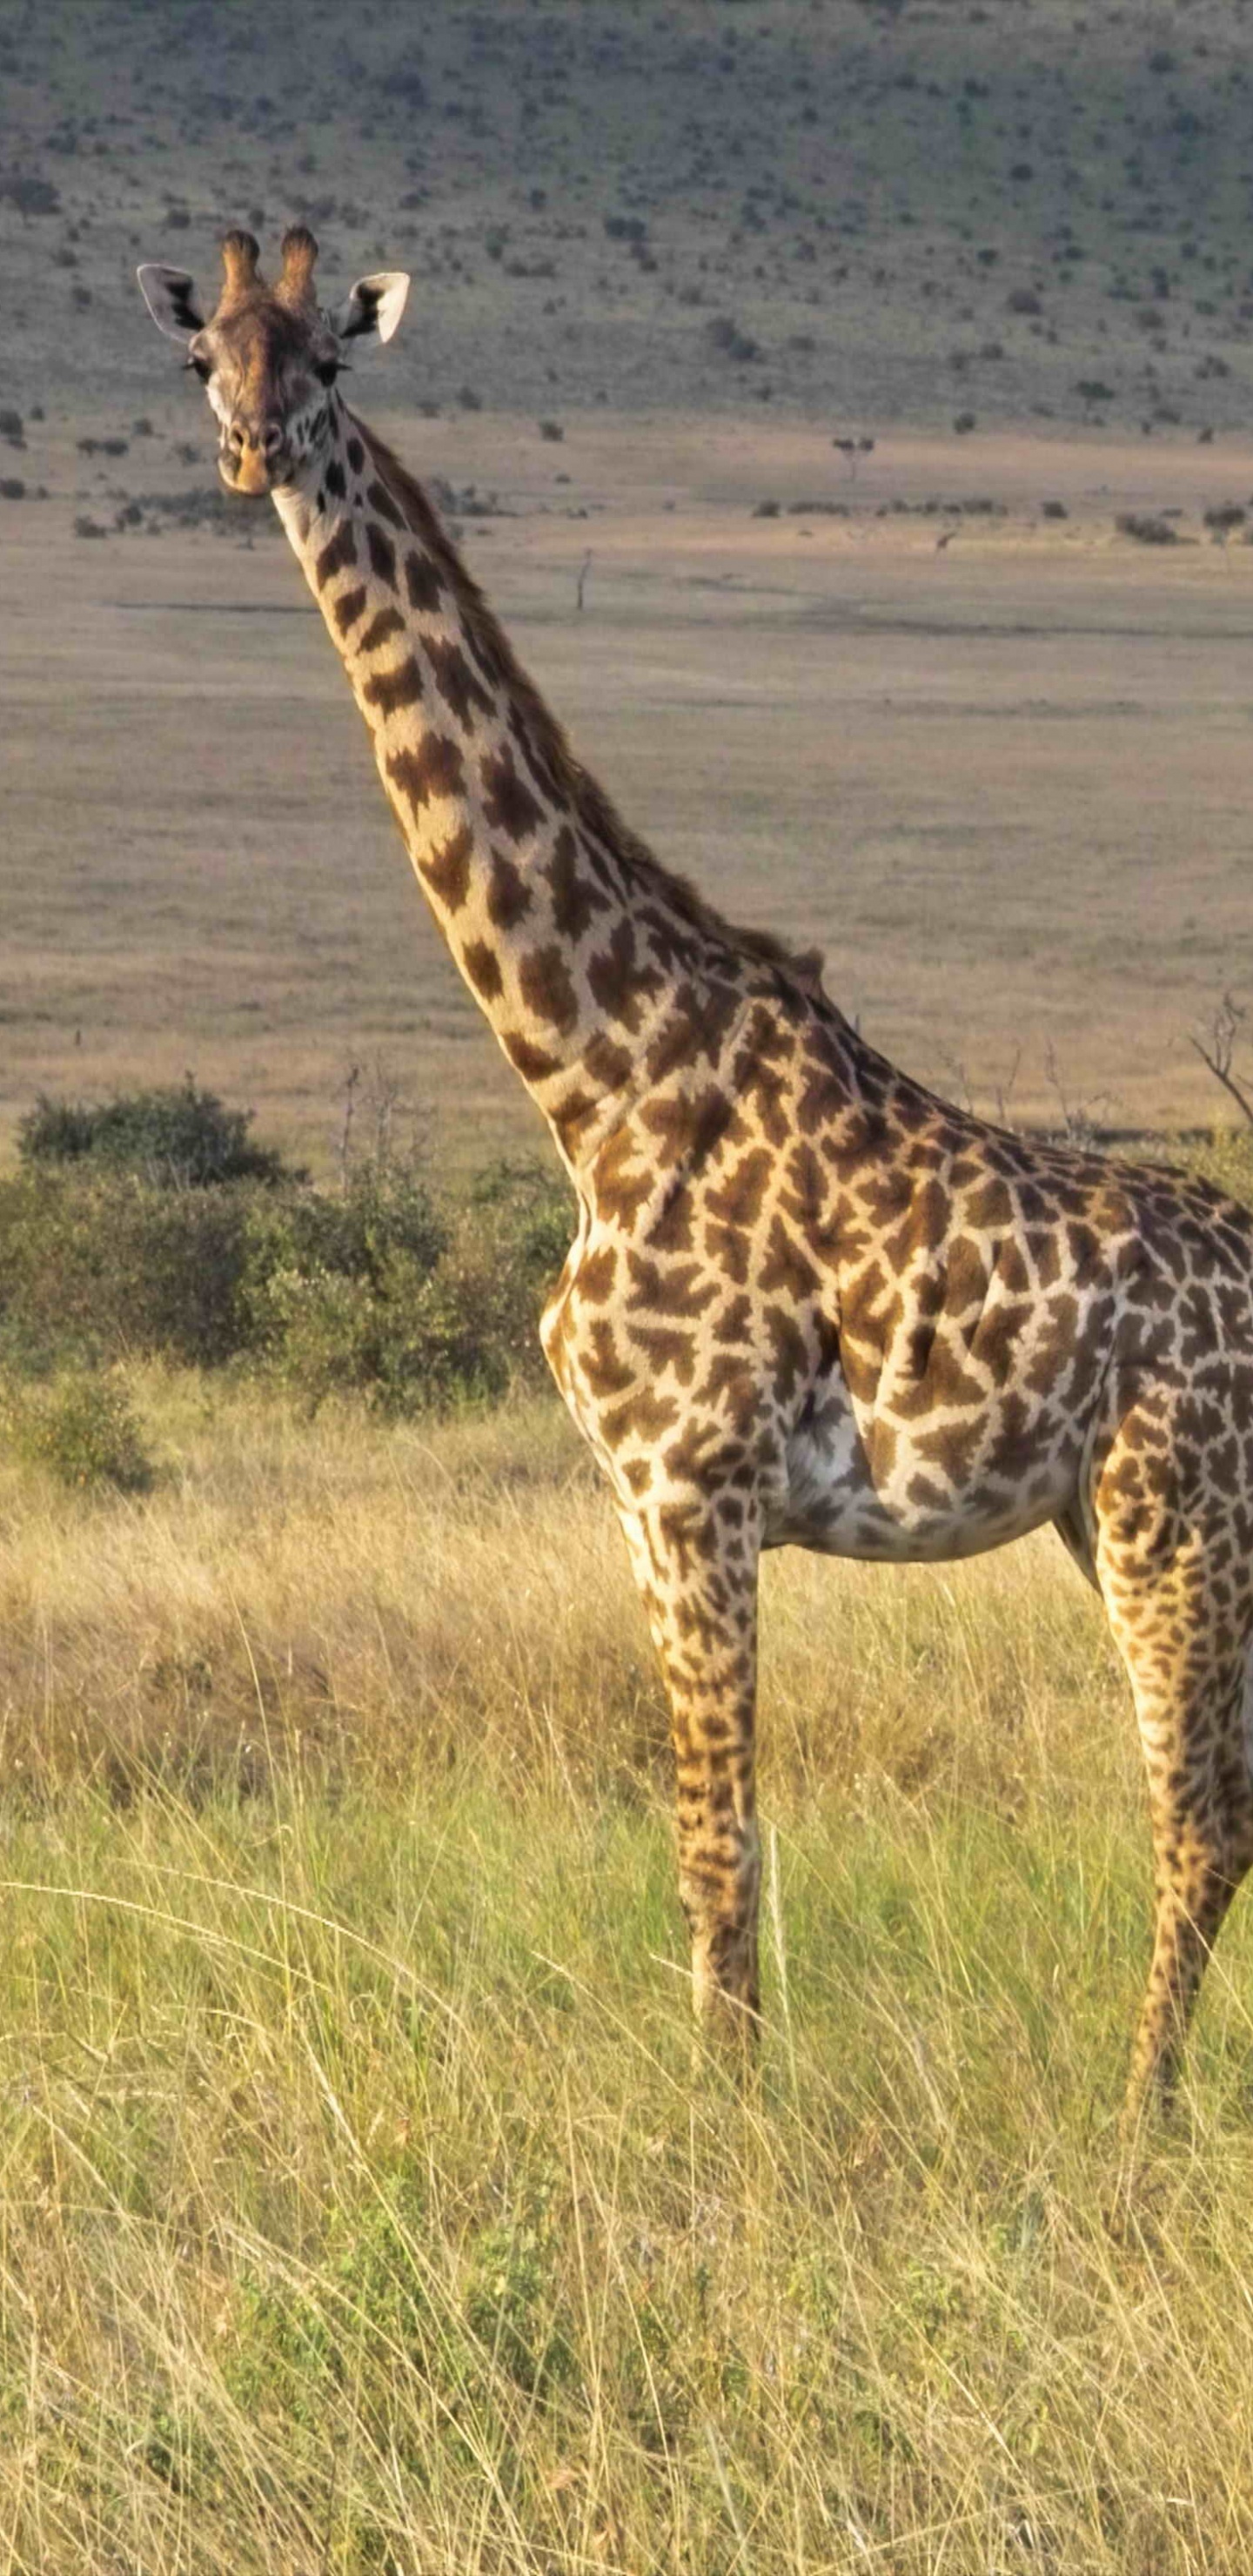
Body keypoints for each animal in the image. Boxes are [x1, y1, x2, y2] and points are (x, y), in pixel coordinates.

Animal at [138, 228, 1253, 2124]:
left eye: (329, 363)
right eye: (205, 353)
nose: (247, 450)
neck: (599, 1075)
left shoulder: (696, 1482)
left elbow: (719, 1850)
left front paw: (721, 2131)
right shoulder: (641, 1503)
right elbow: (717, 1852)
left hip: (1182, 1506)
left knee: (1199, 1810)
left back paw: (1137, 2118)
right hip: (1107, 1520)